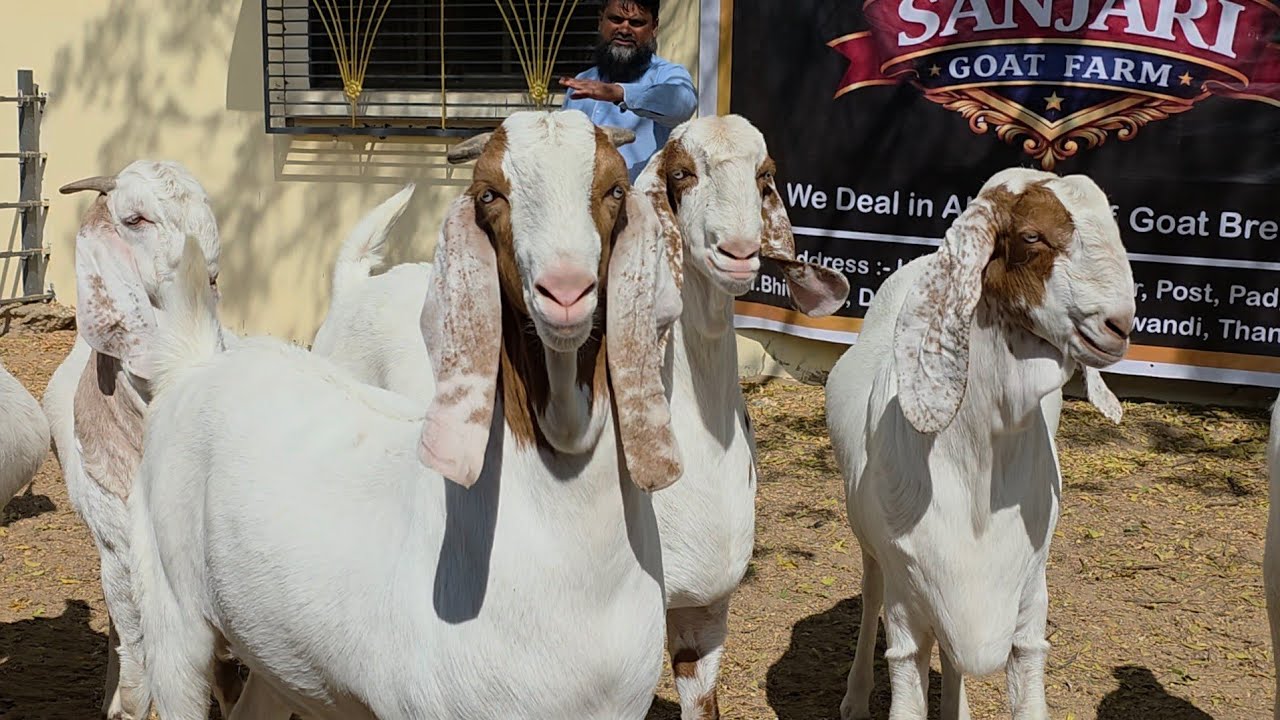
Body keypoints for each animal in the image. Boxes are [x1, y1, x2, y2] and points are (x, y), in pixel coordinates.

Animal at [113, 110, 684, 719]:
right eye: (490, 194)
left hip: (276, 654)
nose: (566, 291)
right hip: (172, 613)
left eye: (614, 189)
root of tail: (194, 363)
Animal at [823, 167, 1133, 720]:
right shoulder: (907, 610)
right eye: (1032, 236)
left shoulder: (1028, 610)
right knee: (869, 595)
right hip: (872, 551)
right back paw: (855, 698)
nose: (1119, 325)